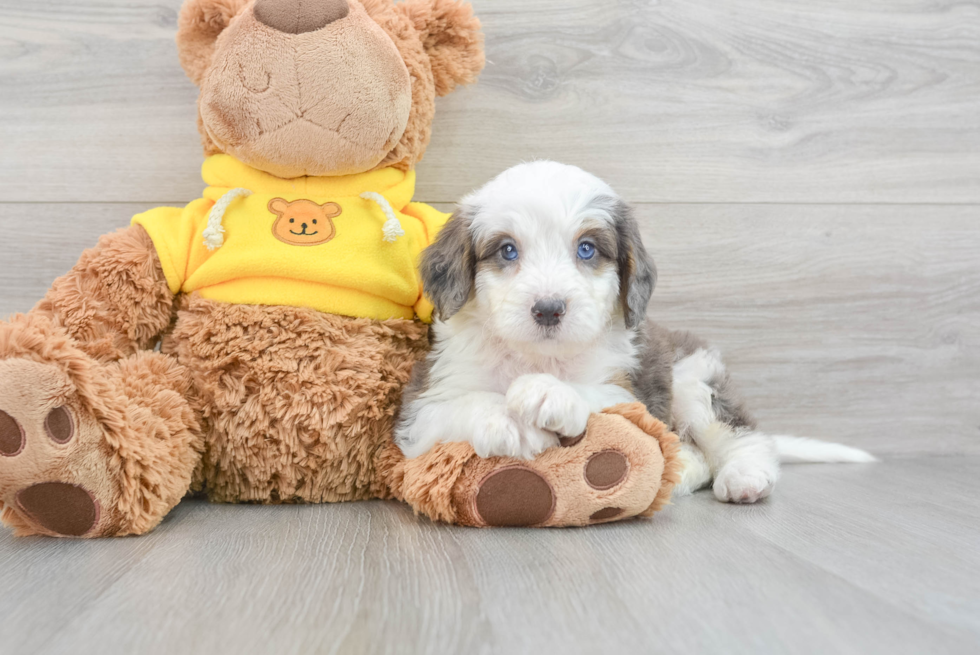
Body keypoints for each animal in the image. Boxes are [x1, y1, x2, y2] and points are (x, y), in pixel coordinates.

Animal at [394, 161, 876, 504]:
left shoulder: (634, 391)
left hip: (691, 379)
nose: (548, 309)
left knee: (741, 434)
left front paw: (549, 392)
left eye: (587, 249)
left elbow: (599, 394)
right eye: (507, 250)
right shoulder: (420, 406)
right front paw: (504, 420)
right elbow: (458, 405)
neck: (539, 355)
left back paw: (745, 477)